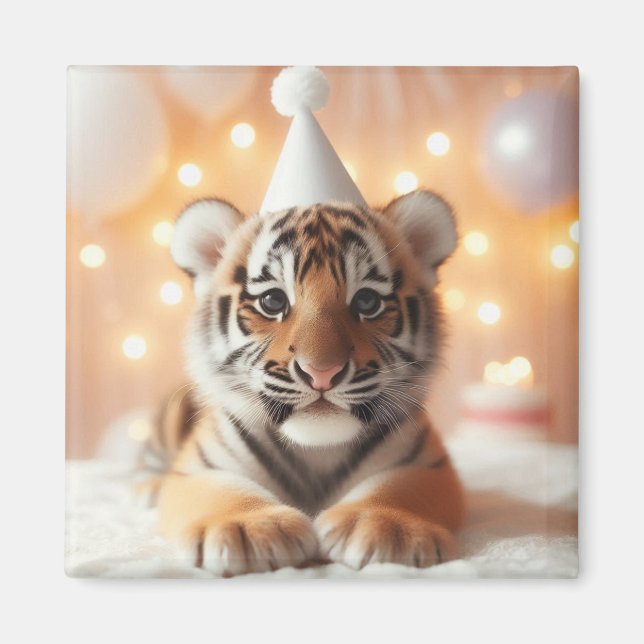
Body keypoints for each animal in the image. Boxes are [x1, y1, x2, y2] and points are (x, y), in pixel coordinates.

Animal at [140, 189, 465, 576]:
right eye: (272, 301)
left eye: (367, 301)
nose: (322, 372)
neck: (317, 452)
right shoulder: (201, 467)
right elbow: (224, 492)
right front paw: (248, 529)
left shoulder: (424, 462)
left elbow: (396, 488)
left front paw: (386, 526)